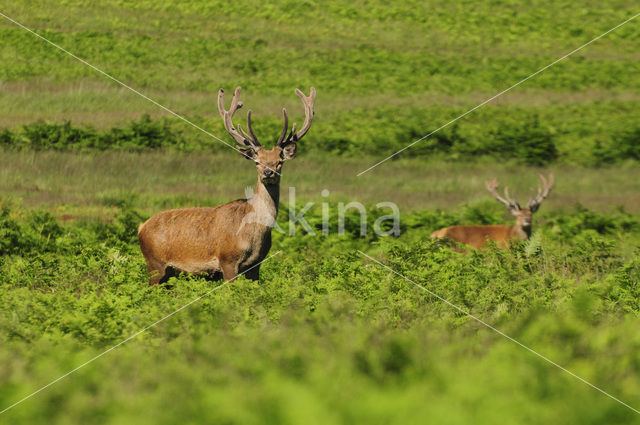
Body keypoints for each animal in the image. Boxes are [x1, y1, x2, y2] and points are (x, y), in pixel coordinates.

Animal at [138, 86, 316, 284]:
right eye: (257, 162)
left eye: (280, 162)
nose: (268, 173)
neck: (253, 234)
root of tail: (141, 228)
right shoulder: (228, 259)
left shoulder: (256, 265)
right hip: (155, 264)